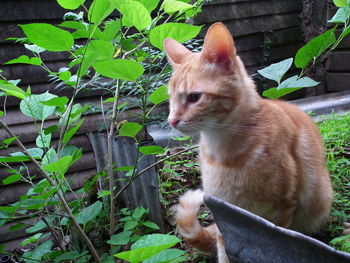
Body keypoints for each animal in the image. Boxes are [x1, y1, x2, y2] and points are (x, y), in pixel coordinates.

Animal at [164, 23, 334, 263]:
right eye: (170, 99)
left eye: (194, 97)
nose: (171, 120)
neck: (222, 151)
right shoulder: (225, 218)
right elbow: (224, 252)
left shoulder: (279, 215)